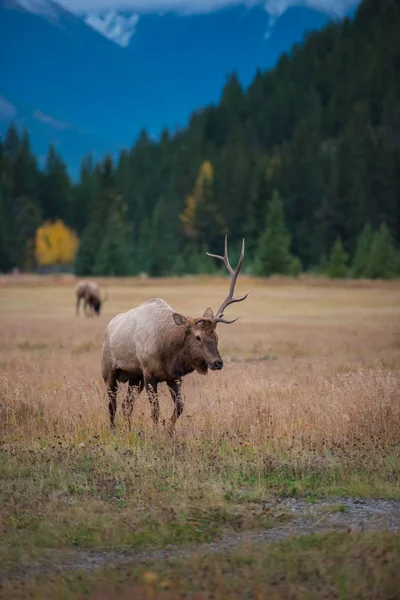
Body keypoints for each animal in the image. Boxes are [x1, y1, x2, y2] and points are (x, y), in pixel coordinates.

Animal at [101, 236, 248, 432]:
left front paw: (168, 431)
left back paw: (128, 429)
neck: (167, 352)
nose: (218, 362)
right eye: (198, 337)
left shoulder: (173, 377)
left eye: (216, 337)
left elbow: (180, 407)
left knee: (126, 405)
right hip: (109, 371)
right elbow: (155, 410)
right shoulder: (148, 373)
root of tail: (109, 327)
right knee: (112, 404)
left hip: (134, 377)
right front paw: (156, 432)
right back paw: (113, 430)